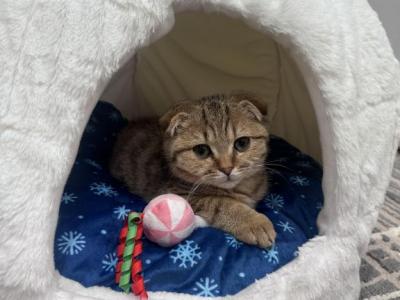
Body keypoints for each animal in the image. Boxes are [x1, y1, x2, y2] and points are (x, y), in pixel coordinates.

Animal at [109, 92, 276, 247]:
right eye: (201, 150)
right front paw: (254, 223)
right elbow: (221, 203)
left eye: (242, 143)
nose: (227, 168)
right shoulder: (176, 192)